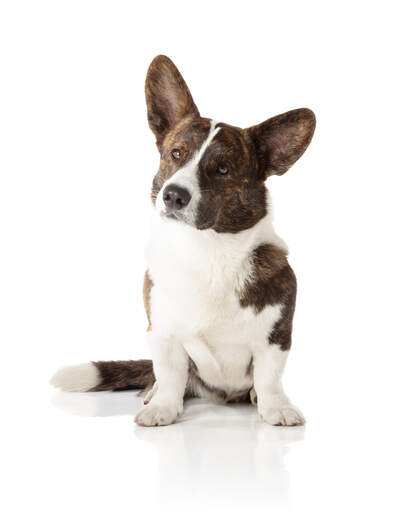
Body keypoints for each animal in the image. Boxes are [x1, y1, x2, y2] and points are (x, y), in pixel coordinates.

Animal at [51, 55, 316, 428]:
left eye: (222, 169)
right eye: (176, 154)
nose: (174, 195)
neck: (207, 249)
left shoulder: (275, 335)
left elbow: (268, 377)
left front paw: (275, 406)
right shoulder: (162, 333)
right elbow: (171, 373)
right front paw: (163, 406)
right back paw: (152, 393)